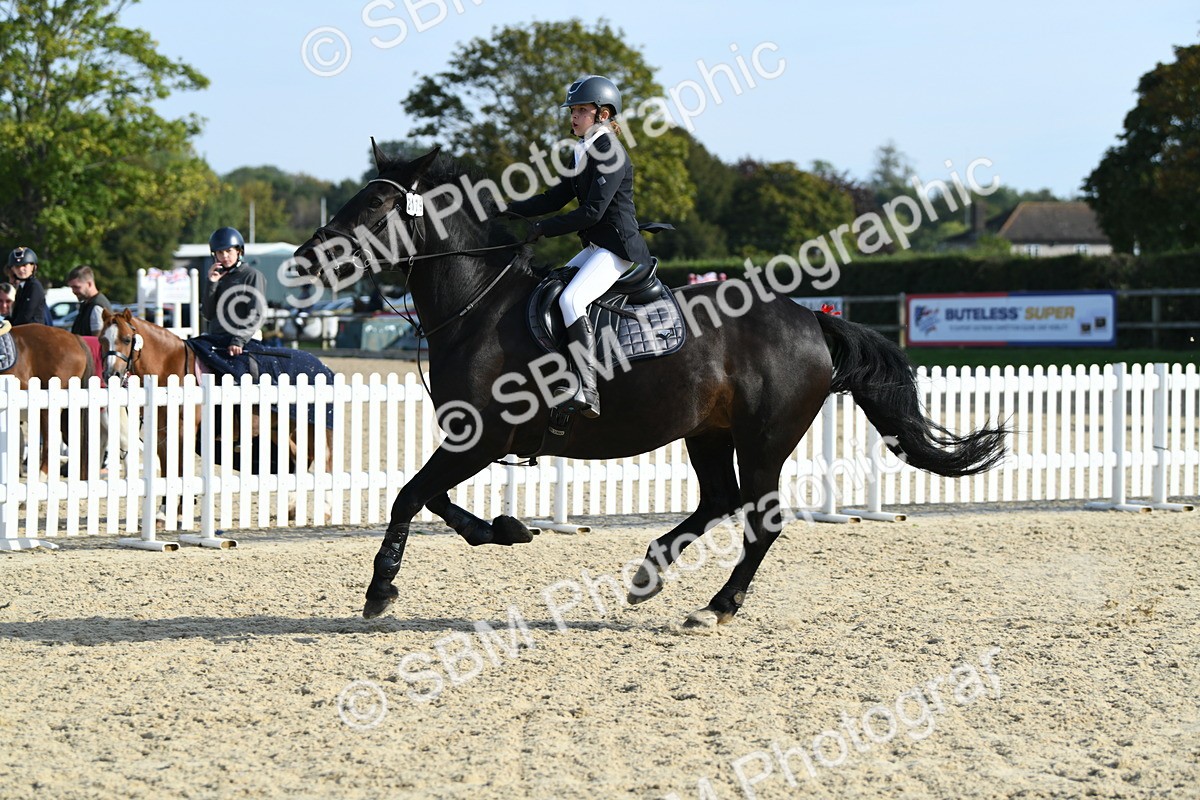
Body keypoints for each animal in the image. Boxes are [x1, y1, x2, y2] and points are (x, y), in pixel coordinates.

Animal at [99, 309, 335, 513]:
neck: (170, 369)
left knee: (323, 459)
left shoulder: (183, 431)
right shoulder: (162, 434)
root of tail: (321, 366)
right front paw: (164, 512)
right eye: (102, 340)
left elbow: (180, 469)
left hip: (312, 427)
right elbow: (167, 469)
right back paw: (292, 507)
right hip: (280, 429)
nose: (111, 374)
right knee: (298, 459)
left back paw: (325, 509)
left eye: (127, 339)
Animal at [293, 144, 1008, 627]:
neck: (478, 306)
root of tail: (811, 319)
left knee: (762, 518)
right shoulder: (476, 440)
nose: (303, 261)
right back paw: (648, 574)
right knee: (721, 499)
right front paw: (505, 529)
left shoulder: (483, 438)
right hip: (709, 432)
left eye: (378, 205)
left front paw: (381, 590)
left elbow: (410, 496)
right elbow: (432, 499)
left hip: (765, 438)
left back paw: (718, 606)